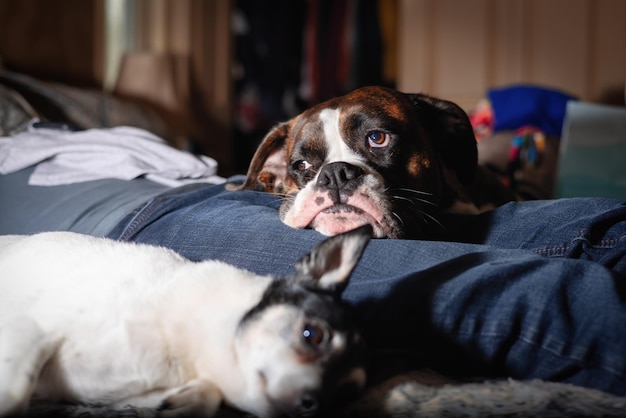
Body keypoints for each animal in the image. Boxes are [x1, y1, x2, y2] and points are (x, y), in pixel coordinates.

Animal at [0, 229, 368, 418]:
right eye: (312, 335)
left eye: (344, 396)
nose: (312, 406)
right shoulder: (33, 329)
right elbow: (15, 394)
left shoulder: (101, 397)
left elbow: (205, 395)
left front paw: (182, 403)